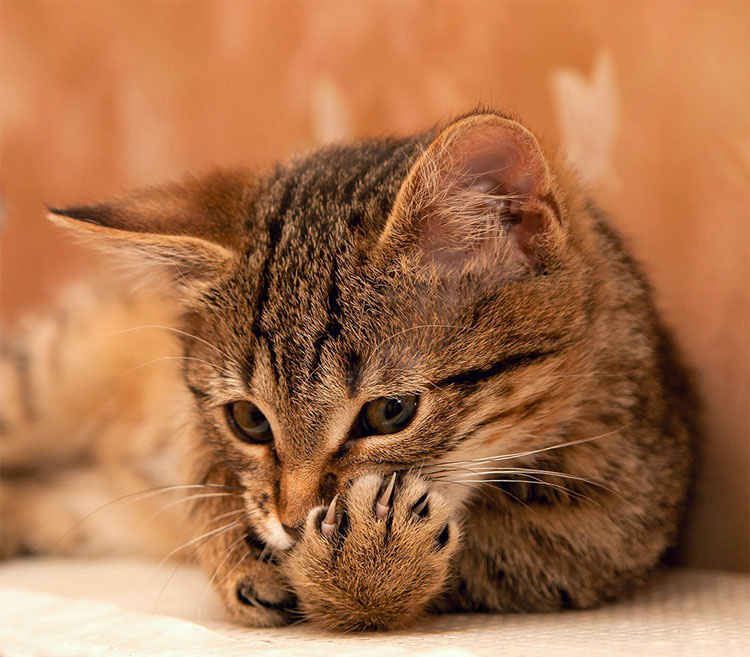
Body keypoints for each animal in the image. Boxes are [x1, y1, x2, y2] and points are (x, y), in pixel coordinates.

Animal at [0, 109, 696, 632]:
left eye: (390, 412)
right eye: (249, 419)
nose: (291, 520)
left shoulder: (607, 533)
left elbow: (486, 558)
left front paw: (364, 566)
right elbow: (207, 468)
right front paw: (251, 553)